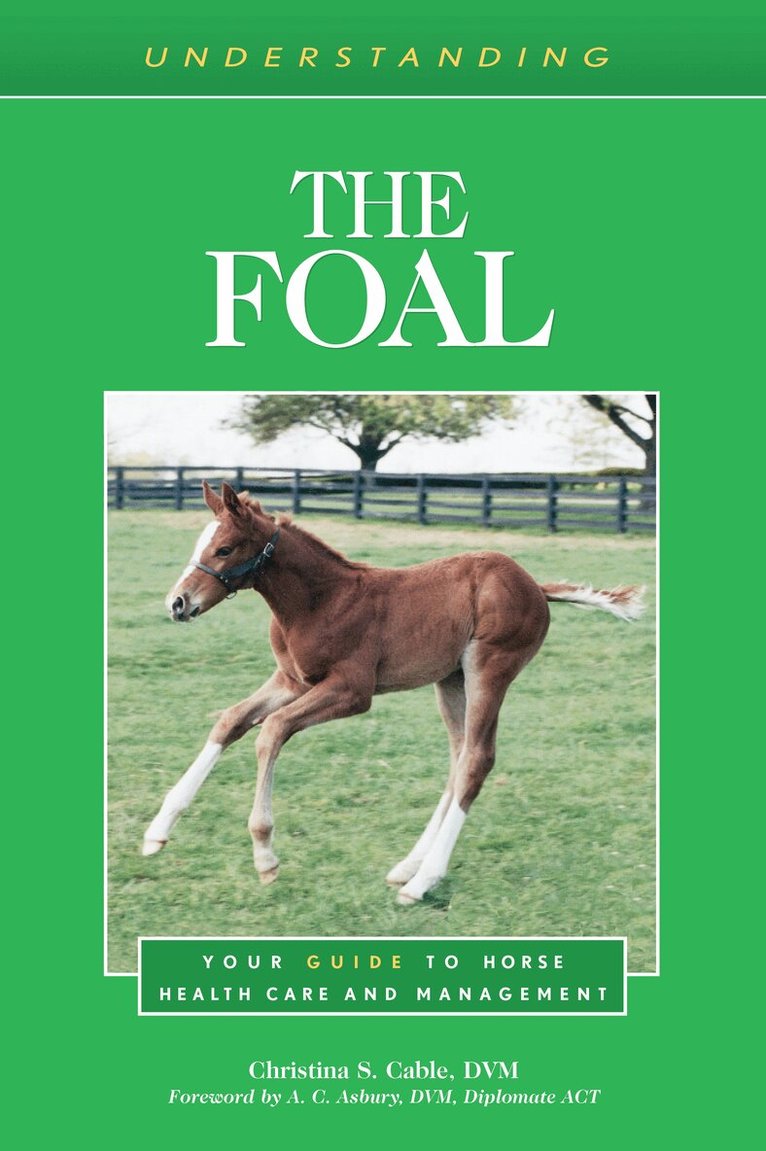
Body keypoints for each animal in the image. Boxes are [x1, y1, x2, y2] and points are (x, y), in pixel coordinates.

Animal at [142, 481, 644, 905]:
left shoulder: (351, 690)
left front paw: (265, 856)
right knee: (460, 756)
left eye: (224, 549)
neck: (319, 601)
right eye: (200, 545)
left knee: (477, 761)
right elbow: (232, 720)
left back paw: (422, 882)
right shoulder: (292, 680)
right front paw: (157, 831)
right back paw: (409, 866)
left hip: (490, 668)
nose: (178, 603)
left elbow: (273, 731)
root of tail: (535, 586)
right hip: (451, 679)